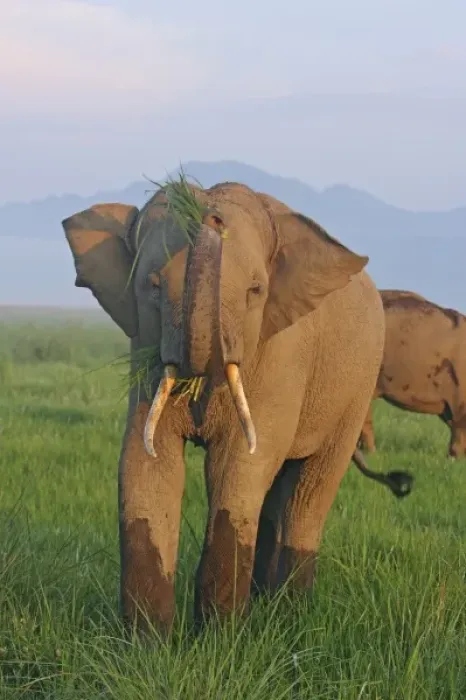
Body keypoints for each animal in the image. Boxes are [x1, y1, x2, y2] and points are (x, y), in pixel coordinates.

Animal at [61, 179, 412, 635]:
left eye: (255, 291)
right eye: (152, 286)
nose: (209, 214)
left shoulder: (281, 350)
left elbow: (237, 464)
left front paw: (219, 639)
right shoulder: (145, 349)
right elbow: (145, 461)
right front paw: (147, 642)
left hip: (358, 386)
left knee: (308, 491)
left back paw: (291, 613)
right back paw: (265, 602)